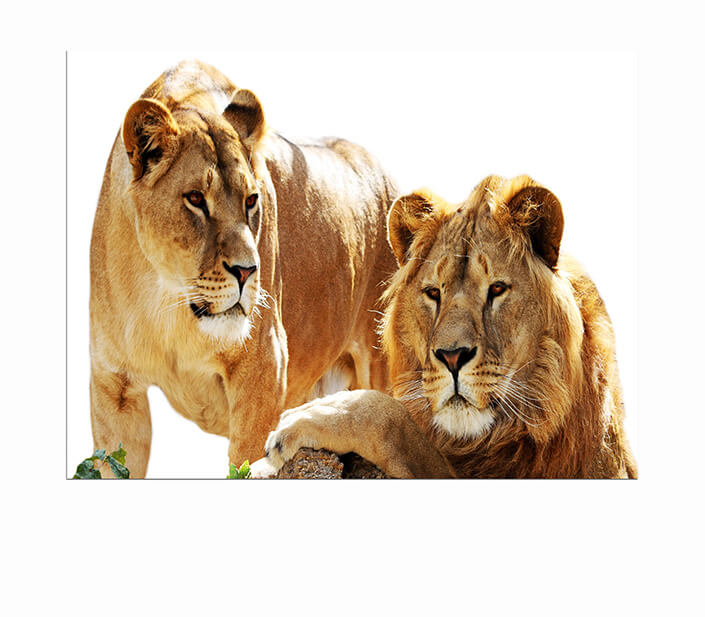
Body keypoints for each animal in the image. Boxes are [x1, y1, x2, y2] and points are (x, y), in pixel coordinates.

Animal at [89, 60, 397, 477]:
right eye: (195, 198)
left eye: (252, 200)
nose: (248, 271)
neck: (167, 301)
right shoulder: (115, 389)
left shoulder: (263, 369)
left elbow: (246, 462)